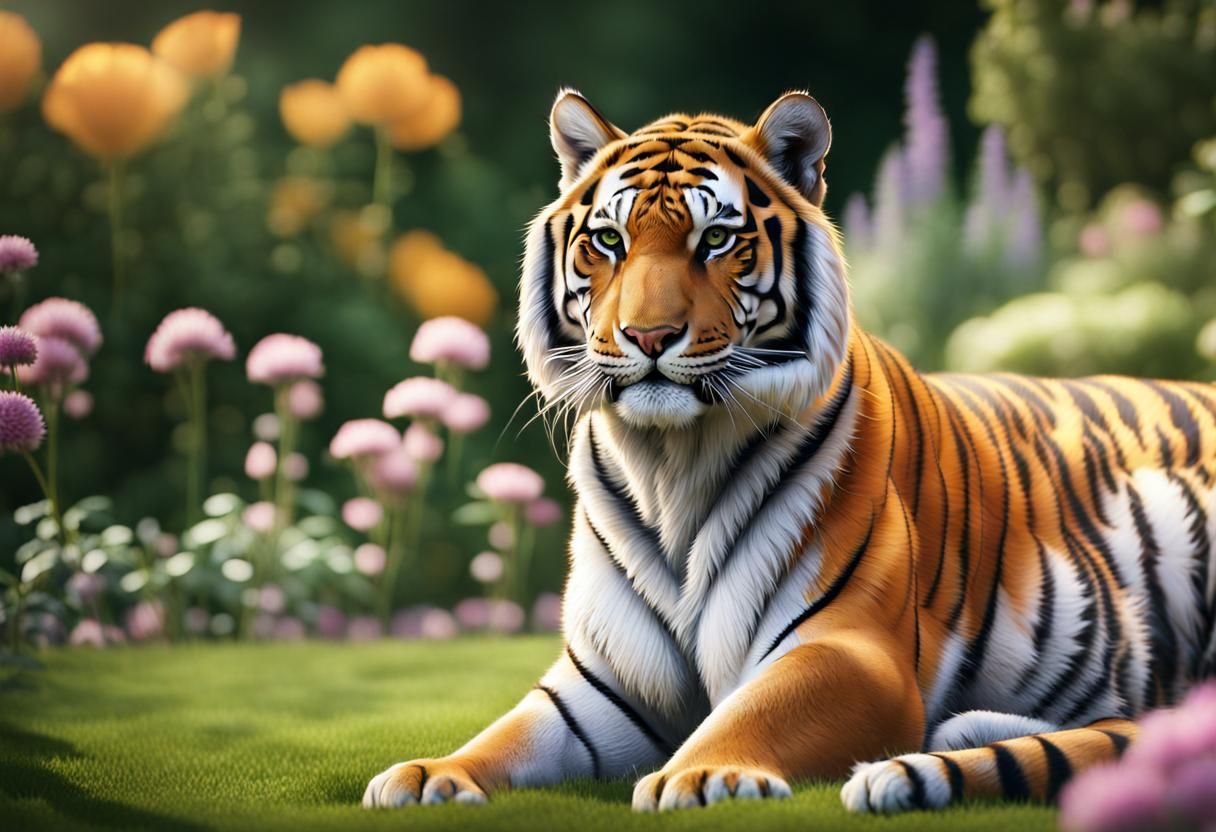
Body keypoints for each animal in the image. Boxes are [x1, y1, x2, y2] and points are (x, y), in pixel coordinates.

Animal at [363, 89, 1216, 814]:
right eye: (608, 239)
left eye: (716, 239)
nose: (646, 337)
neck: (672, 466)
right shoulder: (602, 682)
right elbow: (510, 733)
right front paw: (428, 775)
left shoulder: (849, 651)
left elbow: (753, 714)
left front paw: (700, 774)